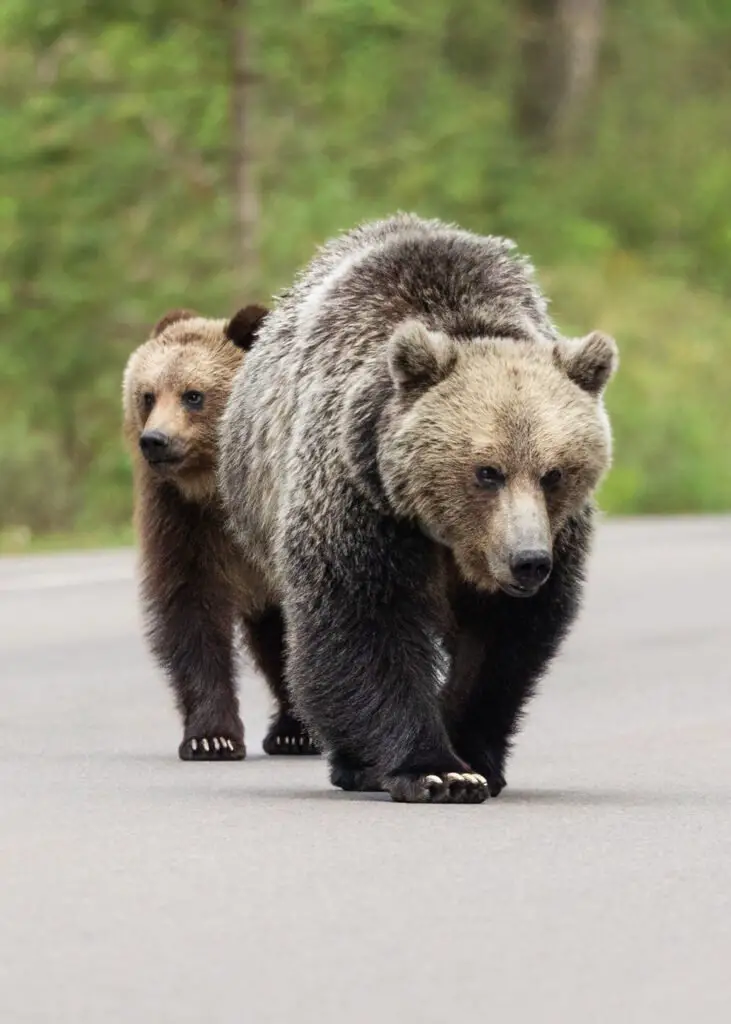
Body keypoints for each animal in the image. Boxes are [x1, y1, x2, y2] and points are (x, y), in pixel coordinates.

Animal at [120, 307, 317, 765]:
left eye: (193, 395)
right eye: (148, 395)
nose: (155, 441)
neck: (214, 488)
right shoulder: (182, 521)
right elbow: (190, 616)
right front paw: (212, 737)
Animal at [216, 216, 614, 802]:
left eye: (554, 473)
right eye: (486, 471)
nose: (528, 562)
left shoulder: (553, 536)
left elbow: (502, 643)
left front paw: (473, 756)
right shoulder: (362, 500)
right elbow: (364, 621)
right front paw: (434, 769)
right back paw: (355, 764)